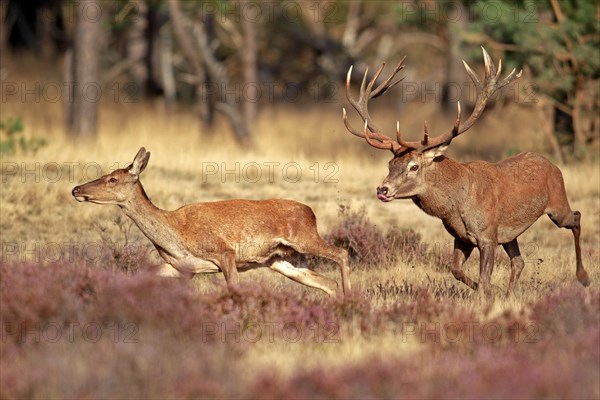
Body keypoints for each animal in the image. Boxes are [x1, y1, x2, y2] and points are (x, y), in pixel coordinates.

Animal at [72, 148, 350, 296]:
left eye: (113, 179)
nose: (76, 189)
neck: (175, 234)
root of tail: (310, 212)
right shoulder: (181, 267)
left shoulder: (224, 251)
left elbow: (233, 288)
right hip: (282, 260)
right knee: (326, 282)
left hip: (304, 238)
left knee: (342, 253)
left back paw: (350, 298)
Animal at [342, 48, 592, 296]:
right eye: (390, 164)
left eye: (414, 166)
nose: (382, 189)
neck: (456, 205)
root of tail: (553, 165)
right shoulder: (461, 238)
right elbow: (456, 270)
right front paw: (490, 291)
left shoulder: (487, 236)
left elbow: (483, 278)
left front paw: (486, 294)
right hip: (510, 234)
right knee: (519, 261)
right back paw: (509, 294)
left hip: (557, 206)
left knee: (576, 217)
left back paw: (584, 277)